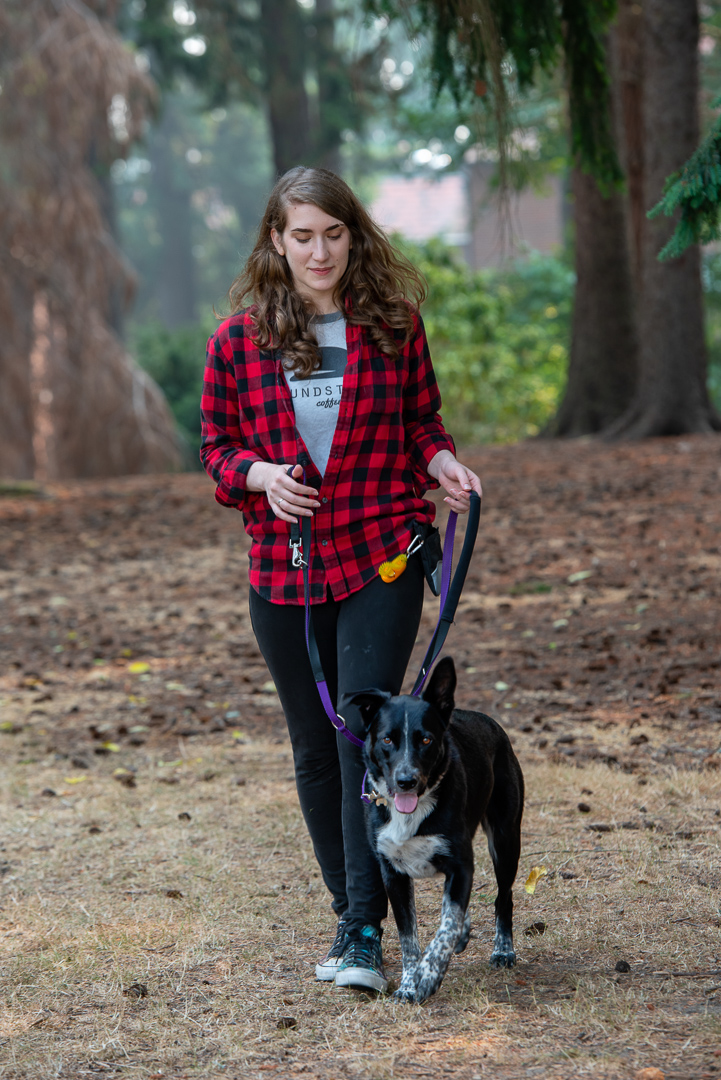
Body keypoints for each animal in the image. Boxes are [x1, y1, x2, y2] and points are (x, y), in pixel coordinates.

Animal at [349, 656, 524, 1002]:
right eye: (387, 739)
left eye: (426, 740)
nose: (406, 781)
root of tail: (489, 721)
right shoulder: (393, 874)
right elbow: (409, 938)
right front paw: (408, 984)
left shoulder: (461, 864)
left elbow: (446, 927)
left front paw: (428, 977)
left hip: (506, 839)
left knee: (503, 897)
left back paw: (503, 950)